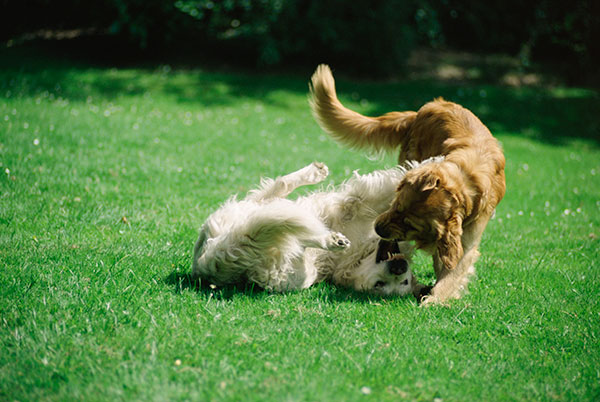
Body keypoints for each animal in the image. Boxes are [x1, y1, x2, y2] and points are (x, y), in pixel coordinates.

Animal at [192, 160, 440, 296]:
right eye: (379, 284)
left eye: (404, 282)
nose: (399, 267)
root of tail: (208, 266)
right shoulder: (359, 205)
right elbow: (392, 184)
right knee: (282, 192)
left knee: (279, 190)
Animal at [310, 65, 506, 304]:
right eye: (397, 205)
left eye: (410, 225)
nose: (377, 229)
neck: (466, 178)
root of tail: (424, 108)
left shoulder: (465, 241)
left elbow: (452, 270)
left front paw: (435, 298)